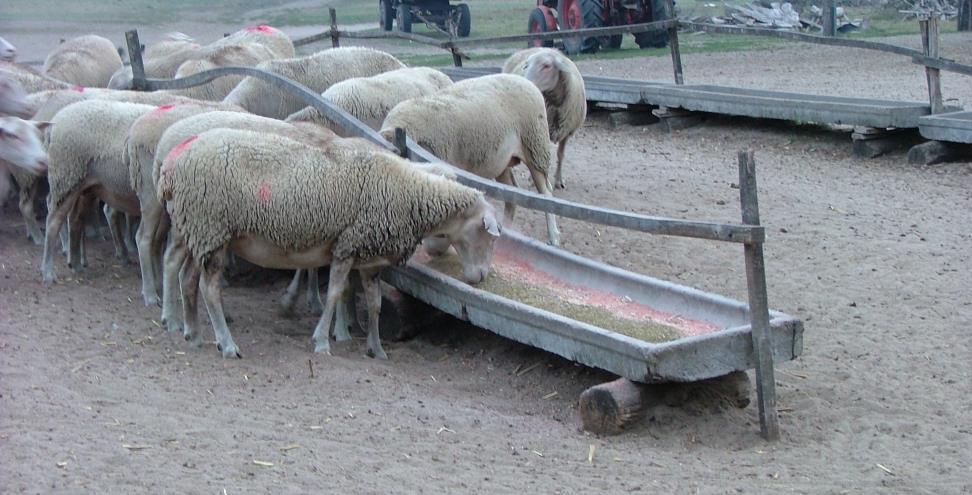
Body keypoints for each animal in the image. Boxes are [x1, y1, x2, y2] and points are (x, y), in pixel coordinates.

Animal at [159, 128, 502, 360]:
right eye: (485, 233)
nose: (480, 277)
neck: (406, 191)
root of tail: (172, 166)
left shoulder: (371, 257)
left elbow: (375, 304)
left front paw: (376, 349)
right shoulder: (347, 245)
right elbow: (336, 292)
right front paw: (323, 340)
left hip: (197, 230)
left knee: (185, 277)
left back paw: (193, 334)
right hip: (211, 227)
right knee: (208, 288)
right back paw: (227, 344)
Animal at [380, 72, 560, 246]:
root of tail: (525, 80)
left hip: (535, 148)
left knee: (546, 194)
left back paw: (553, 236)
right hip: (502, 162)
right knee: (511, 194)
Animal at [504, 47, 588, 190]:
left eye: (547, 66)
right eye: (526, 65)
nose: (524, 81)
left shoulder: (566, 132)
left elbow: (561, 155)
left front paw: (559, 181)